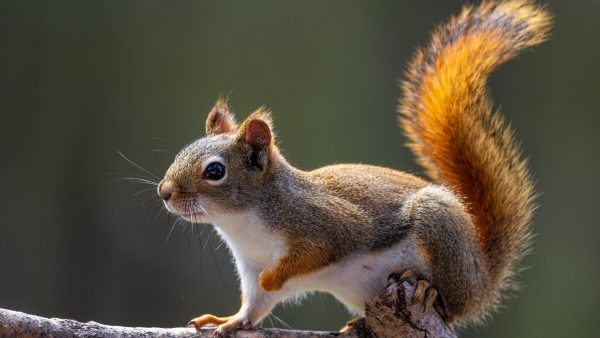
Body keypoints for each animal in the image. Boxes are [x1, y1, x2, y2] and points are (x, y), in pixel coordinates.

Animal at [157, 0, 552, 336]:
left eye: (214, 172)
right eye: (182, 152)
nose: (164, 192)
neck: (243, 223)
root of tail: (482, 280)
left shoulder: (326, 225)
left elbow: (312, 255)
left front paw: (275, 277)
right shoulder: (251, 266)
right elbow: (255, 305)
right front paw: (230, 320)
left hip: (439, 227)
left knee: (450, 304)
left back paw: (427, 287)